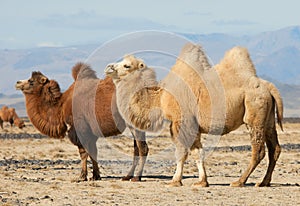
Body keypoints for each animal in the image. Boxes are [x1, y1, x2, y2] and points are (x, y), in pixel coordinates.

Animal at [15, 62, 149, 182]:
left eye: (31, 81)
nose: (17, 83)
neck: (61, 105)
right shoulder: (90, 132)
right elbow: (93, 152)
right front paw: (95, 176)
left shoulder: (79, 128)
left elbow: (83, 152)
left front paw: (81, 177)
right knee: (137, 148)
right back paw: (127, 176)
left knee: (142, 148)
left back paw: (136, 177)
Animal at [105, 43, 284, 187]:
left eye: (127, 65)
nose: (109, 67)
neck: (160, 98)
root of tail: (269, 87)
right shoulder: (193, 125)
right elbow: (198, 152)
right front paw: (202, 182)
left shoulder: (180, 121)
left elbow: (181, 152)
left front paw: (175, 181)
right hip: (268, 119)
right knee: (275, 148)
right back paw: (264, 182)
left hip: (254, 114)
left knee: (258, 150)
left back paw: (239, 181)